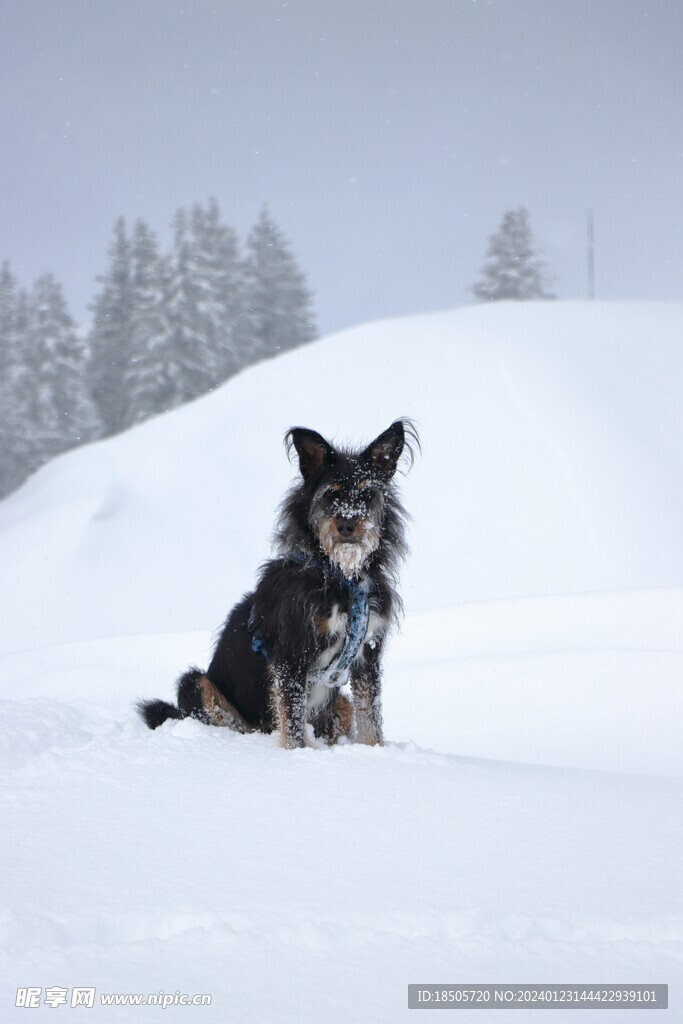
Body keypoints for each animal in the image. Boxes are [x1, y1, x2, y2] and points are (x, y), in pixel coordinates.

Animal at [138, 419, 417, 749]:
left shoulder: (369, 651)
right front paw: (298, 754)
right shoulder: (291, 653)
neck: (341, 577)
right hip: (194, 684)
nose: (347, 525)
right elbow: (292, 719)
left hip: (339, 703)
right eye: (330, 493)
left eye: (367, 493)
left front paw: (374, 750)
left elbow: (370, 714)